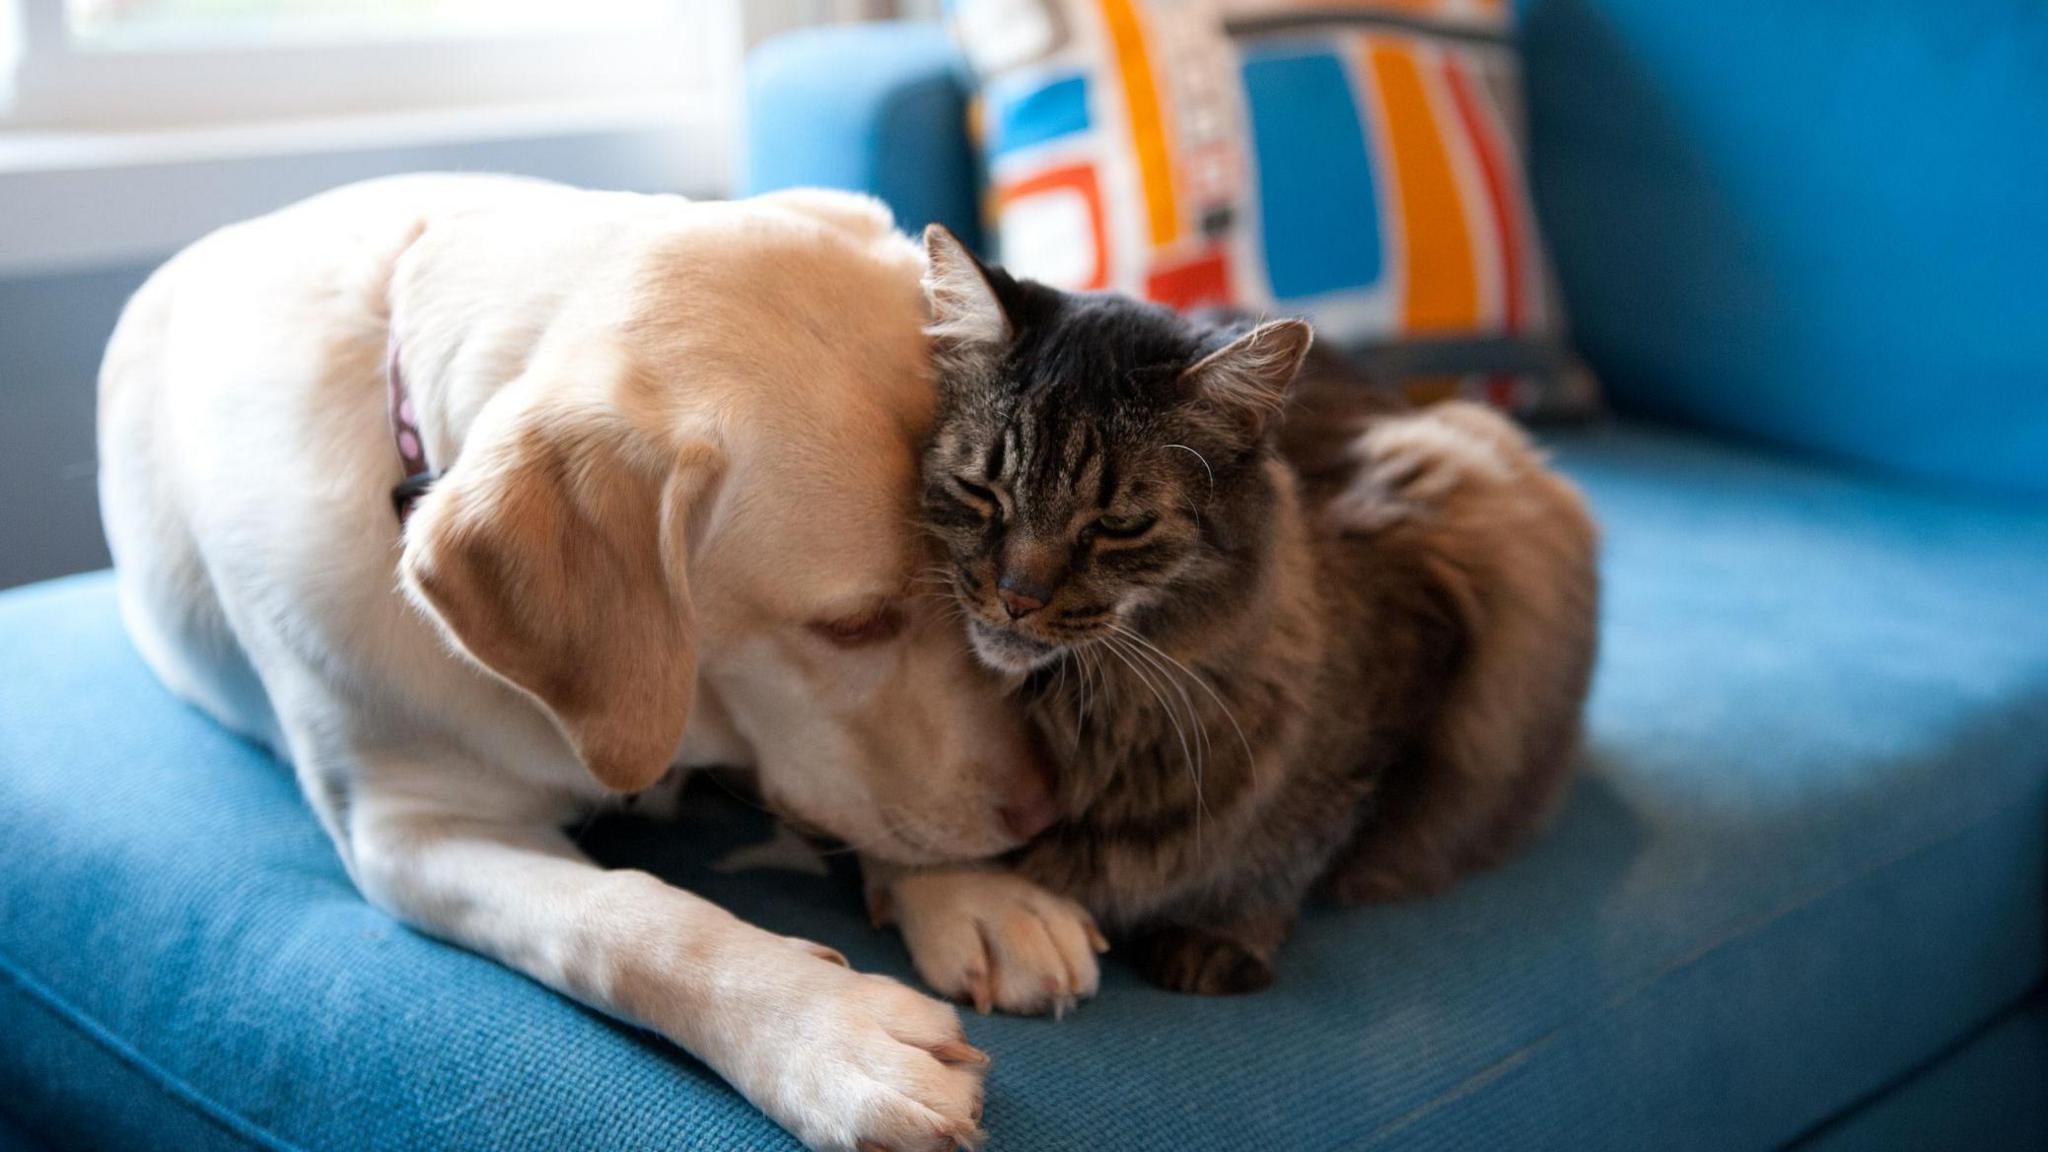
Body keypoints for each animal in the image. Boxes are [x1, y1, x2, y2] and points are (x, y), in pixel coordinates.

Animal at [96, 172, 1056, 1147]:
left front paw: (973, 896)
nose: (1042, 812)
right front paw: (830, 1036)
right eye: (853, 625)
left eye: (971, 587)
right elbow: (622, 920)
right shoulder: (408, 834)